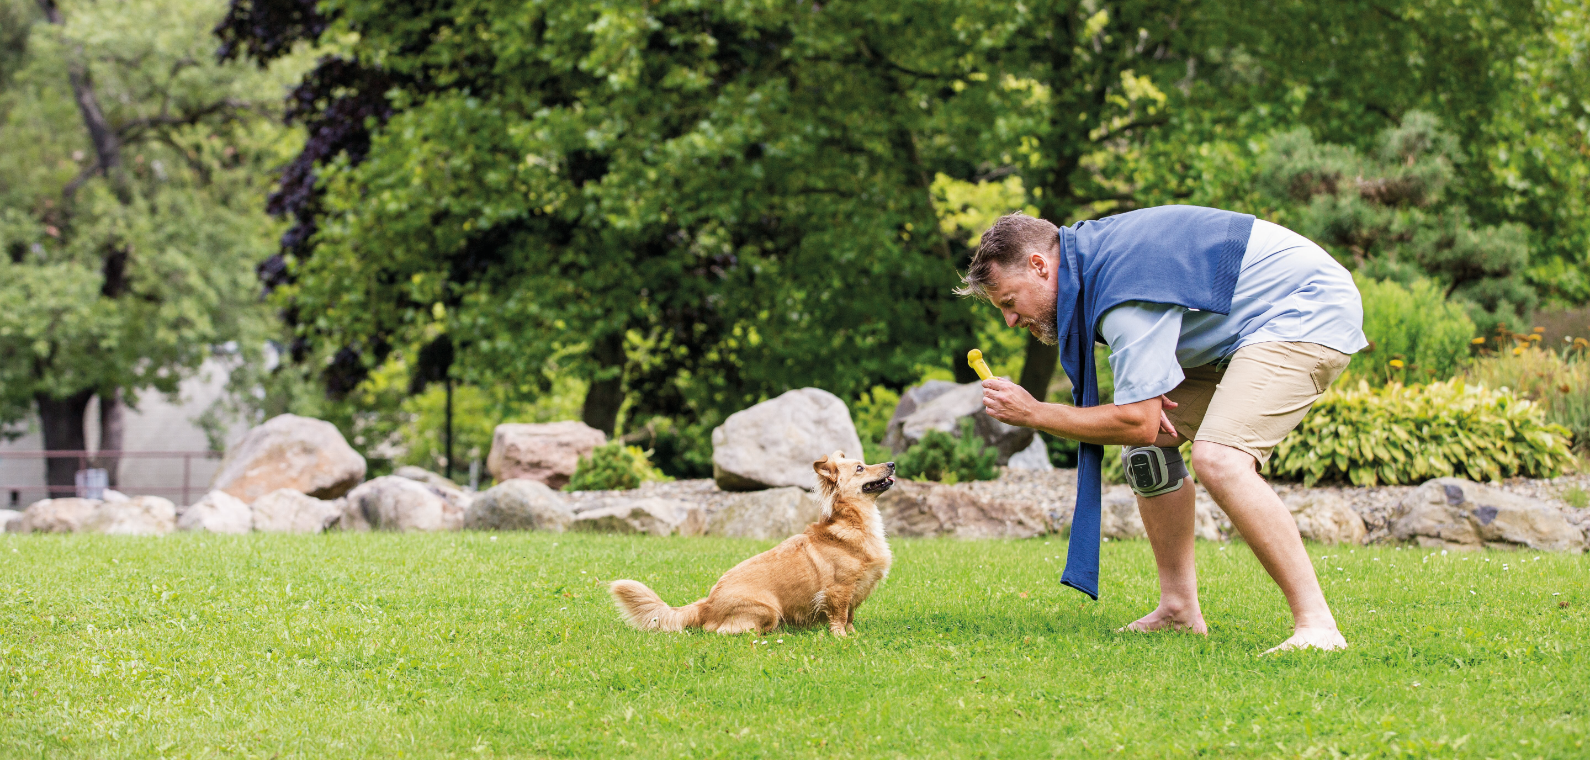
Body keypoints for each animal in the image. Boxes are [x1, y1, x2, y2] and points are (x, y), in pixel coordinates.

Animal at [607, 454, 896, 639]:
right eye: (859, 468)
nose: (892, 464)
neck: (854, 523)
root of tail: (706, 605)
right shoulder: (838, 591)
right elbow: (839, 617)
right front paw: (842, 638)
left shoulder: (854, 594)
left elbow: (850, 616)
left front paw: (853, 634)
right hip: (768, 610)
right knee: (721, 631)